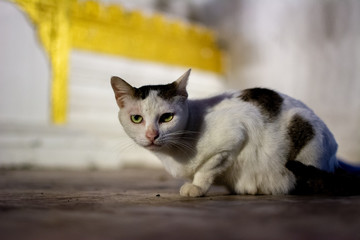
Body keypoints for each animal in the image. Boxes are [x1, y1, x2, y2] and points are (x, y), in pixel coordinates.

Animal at [111, 68, 358, 196]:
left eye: (167, 118)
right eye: (136, 118)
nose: (152, 135)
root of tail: (335, 160)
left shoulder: (236, 133)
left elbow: (207, 168)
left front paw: (196, 187)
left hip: (305, 137)